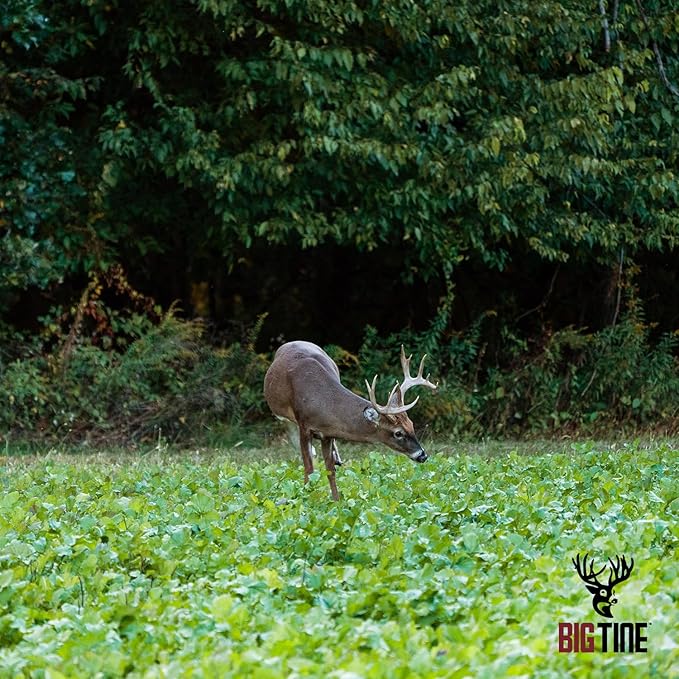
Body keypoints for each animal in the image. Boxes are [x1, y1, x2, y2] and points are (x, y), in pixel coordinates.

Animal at [263, 341, 437, 500]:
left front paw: (336, 500)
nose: (422, 455)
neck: (321, 400)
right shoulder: (304, 426)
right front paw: (307, 497)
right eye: (398, 433)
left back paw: (337, 459)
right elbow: (309, 467)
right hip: (285, 418)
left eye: (412, 425)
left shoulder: (327, 433)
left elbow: (330, 470)